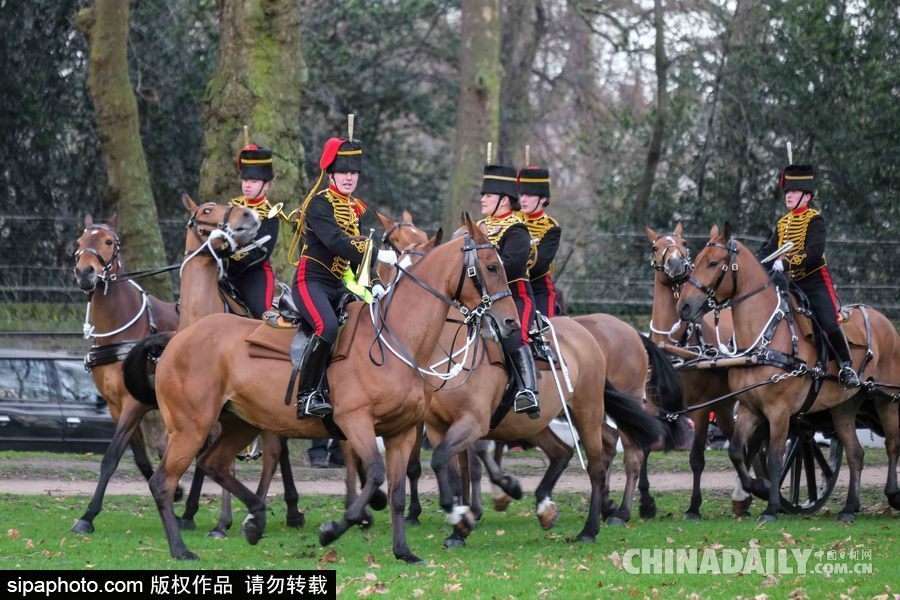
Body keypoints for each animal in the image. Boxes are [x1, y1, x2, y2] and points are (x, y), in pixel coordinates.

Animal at [123, 216, 516, 564]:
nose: (510, 322)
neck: (396, 340)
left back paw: (255, 518)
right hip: (191, 427)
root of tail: (178, 338)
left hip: (240, 423)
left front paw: (404, 551)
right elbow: (375, 475)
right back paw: (182, 548)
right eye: (491, 267)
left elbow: (398, 493)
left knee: (214, 464)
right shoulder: (356, 422)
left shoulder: (402, 432)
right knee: (163, 482)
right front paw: (335, 528)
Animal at [374, 212, 668, 544]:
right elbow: (447, 466)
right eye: (389, 260)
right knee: (567, 451)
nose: (389, 302)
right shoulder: (437, 426)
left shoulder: (474, 420)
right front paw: (460, 522)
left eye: (495, 266)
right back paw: (557, 506)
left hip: (589, 409)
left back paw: (599, 523)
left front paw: (480, 504)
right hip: (540, 420)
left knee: (608, 459)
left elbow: (459, 459)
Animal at [644, 225, 756, 520]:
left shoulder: (702, 408)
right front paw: (645, 503)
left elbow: (696, 458)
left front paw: (694, 507)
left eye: (684, 243)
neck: (673, 346)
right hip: (726, 406)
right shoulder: (653, 405)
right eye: (655, 247)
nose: (676, 264)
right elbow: (644, 446)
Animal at [680, 224, 896, 520]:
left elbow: (775, 457)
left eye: (713, 263)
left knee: (892, 445)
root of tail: (886, 322)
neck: (766, 337)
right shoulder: (749, 408)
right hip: (844, 407)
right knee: (856, 454)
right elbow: (736, 451)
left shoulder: (780, 413)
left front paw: (770, 507)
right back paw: (849, 508)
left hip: (887, 400)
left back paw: (892, 495)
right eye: (698, 259)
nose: (684, 306)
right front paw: (754, 489)